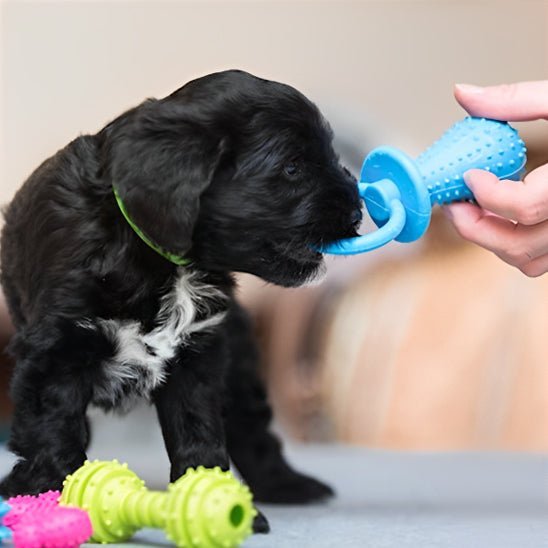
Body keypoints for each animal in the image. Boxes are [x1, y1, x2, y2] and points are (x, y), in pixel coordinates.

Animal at [0, 69, 362, 528]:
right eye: (292, 167)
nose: (358, 210)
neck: (160, 258)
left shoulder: (198, 353)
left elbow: (198, 429)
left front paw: (213, 500)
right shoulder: (57, 351)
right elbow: (54, 428)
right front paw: (49, 499)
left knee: (253, 428)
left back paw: (288, 485)